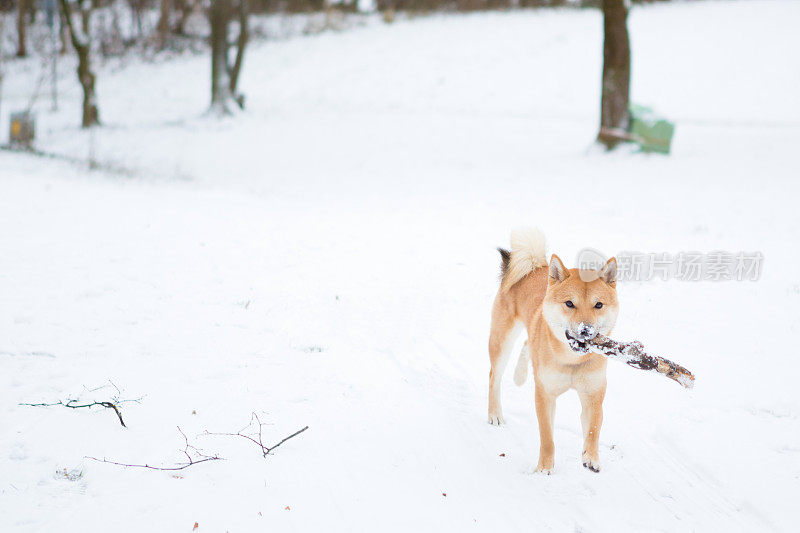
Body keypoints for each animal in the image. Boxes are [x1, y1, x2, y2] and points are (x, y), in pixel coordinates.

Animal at [488, 229, 620, 474]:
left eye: (598, 305)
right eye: (569, 303)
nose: (586, 330)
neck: (572, 361)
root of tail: (534, 266)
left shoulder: (593, 393)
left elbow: (594, 428)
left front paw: (591, 458)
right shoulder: (545, 394)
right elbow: (547, 437)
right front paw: (544, 468)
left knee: (527, 344)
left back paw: (520, 375)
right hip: (502, 340)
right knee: (494, 376)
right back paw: (494, 414)